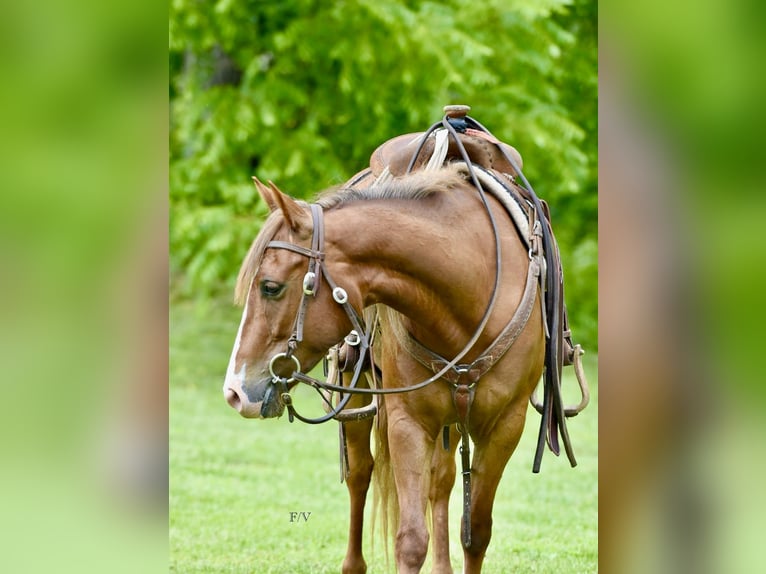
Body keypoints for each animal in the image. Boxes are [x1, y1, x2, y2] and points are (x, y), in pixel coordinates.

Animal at [222, 153, 555, 572]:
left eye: (270, 287)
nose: (234, 391)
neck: (473, 284)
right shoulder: (406, 421)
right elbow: (410, 540)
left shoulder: (505, 426)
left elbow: (476, 533)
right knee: (361, 474)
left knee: (441, 482)